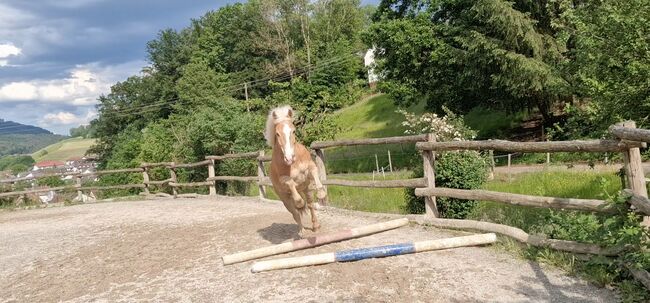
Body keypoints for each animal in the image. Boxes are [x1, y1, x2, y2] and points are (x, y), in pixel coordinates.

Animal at [262, 105, 324, 239]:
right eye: (277, 134)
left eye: (293, 131)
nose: (289, 158)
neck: (294, 163)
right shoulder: (284, 179)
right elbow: (291, 184)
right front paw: (300, 202)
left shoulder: (310, 166)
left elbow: (315, 173)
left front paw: (322, 195)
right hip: (285, 199)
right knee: (295, 213)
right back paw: (302, 232)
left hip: (306, 189)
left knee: (310, 205)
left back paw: (316, 226)